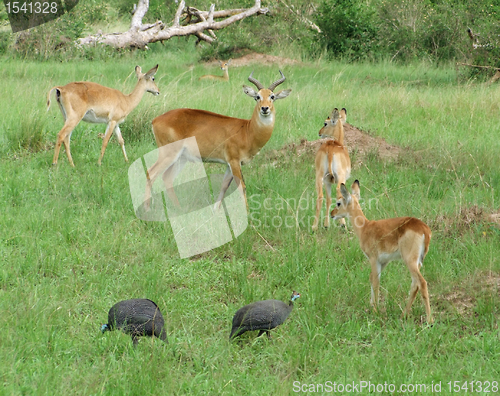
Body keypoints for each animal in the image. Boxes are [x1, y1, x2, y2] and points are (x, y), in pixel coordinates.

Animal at [145, 70, 292, 210]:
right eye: (257, 96)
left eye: (272, 96)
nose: (265, 108)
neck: (247, 130)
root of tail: (155, 120)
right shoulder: (234, 161)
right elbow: (242, 187)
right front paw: (248, 213)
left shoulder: (228, 164)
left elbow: (224, 186)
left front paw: (216, 210)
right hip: (169, 154)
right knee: (151, 173)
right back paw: (148, 209)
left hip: (182, 158)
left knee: (167, 178)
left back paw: (180, 209)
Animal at [330, 181, 432, 324]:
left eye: (338, 202)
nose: (332, 213)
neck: (365, 228)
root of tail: (424, 229)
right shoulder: (384, 262)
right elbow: (372, 278)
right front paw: (372, 306)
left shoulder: (374, 259)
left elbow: (375, 282)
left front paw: (375, 310)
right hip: (418, 262)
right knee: (414, 285)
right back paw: (403, 315)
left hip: (410, 261)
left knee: (421, 283)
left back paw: (429, 320)